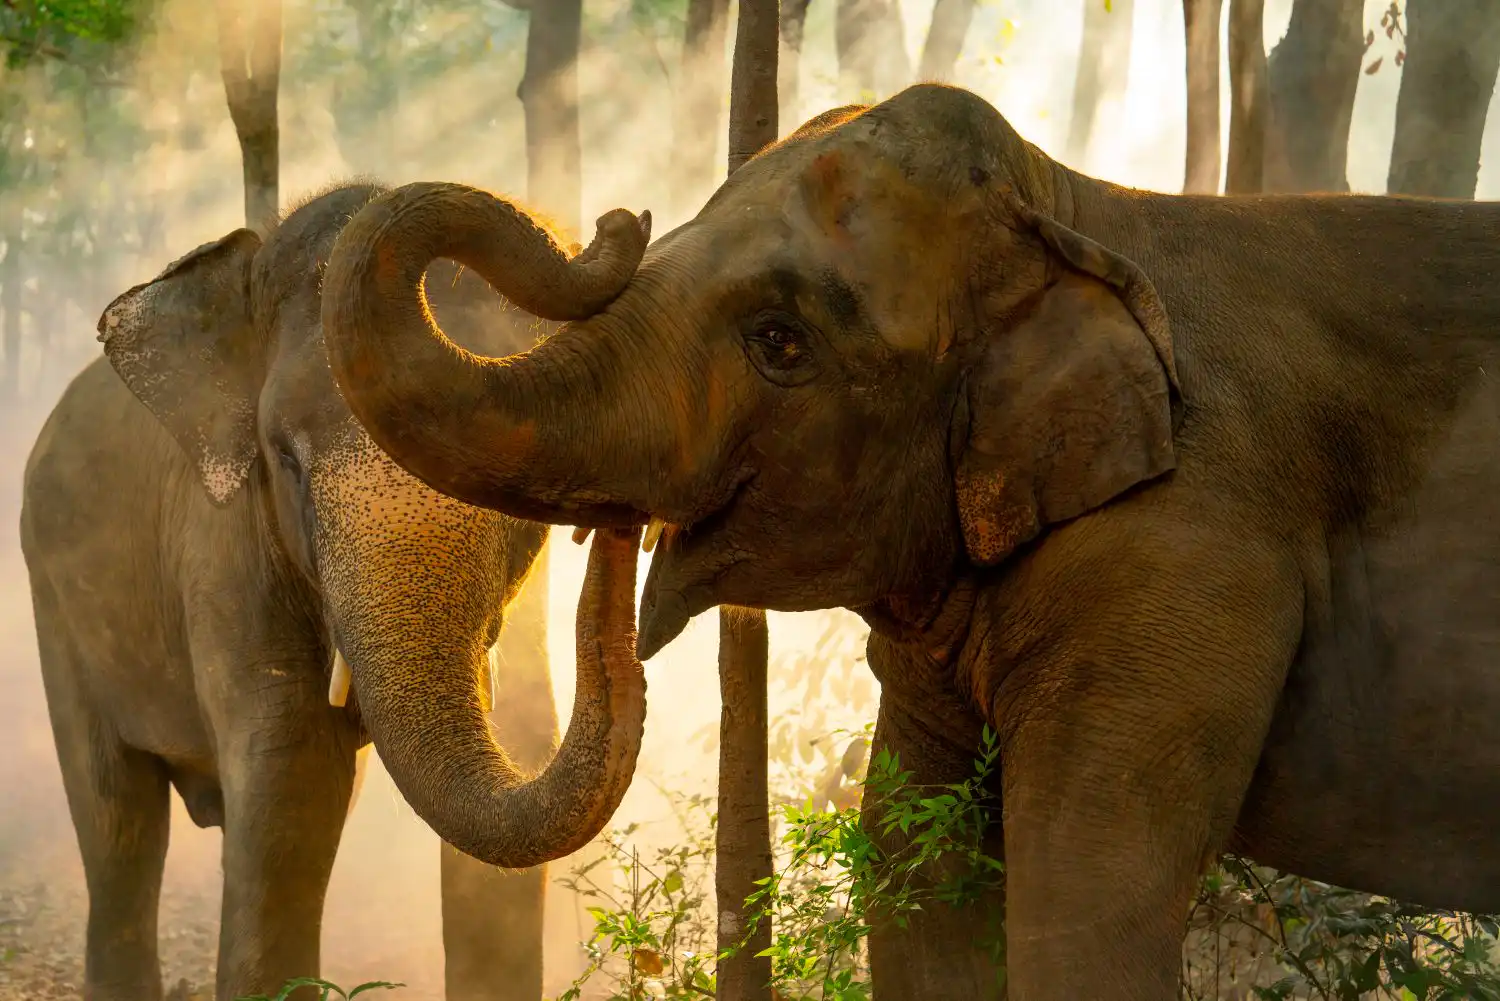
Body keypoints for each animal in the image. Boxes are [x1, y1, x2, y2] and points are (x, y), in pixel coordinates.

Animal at [18, 181, 650, 1001]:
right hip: (53, 601)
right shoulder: (222, 554)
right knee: (117, 823)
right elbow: (292, 774)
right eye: (285, 457)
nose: (622, 521)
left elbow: (511, 753)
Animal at [316, 82, 1500, 1001]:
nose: (615, 221)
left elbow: (1090, 888)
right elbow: (916, 877)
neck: (1076, 212)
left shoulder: (1183, 554)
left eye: (781, 340)